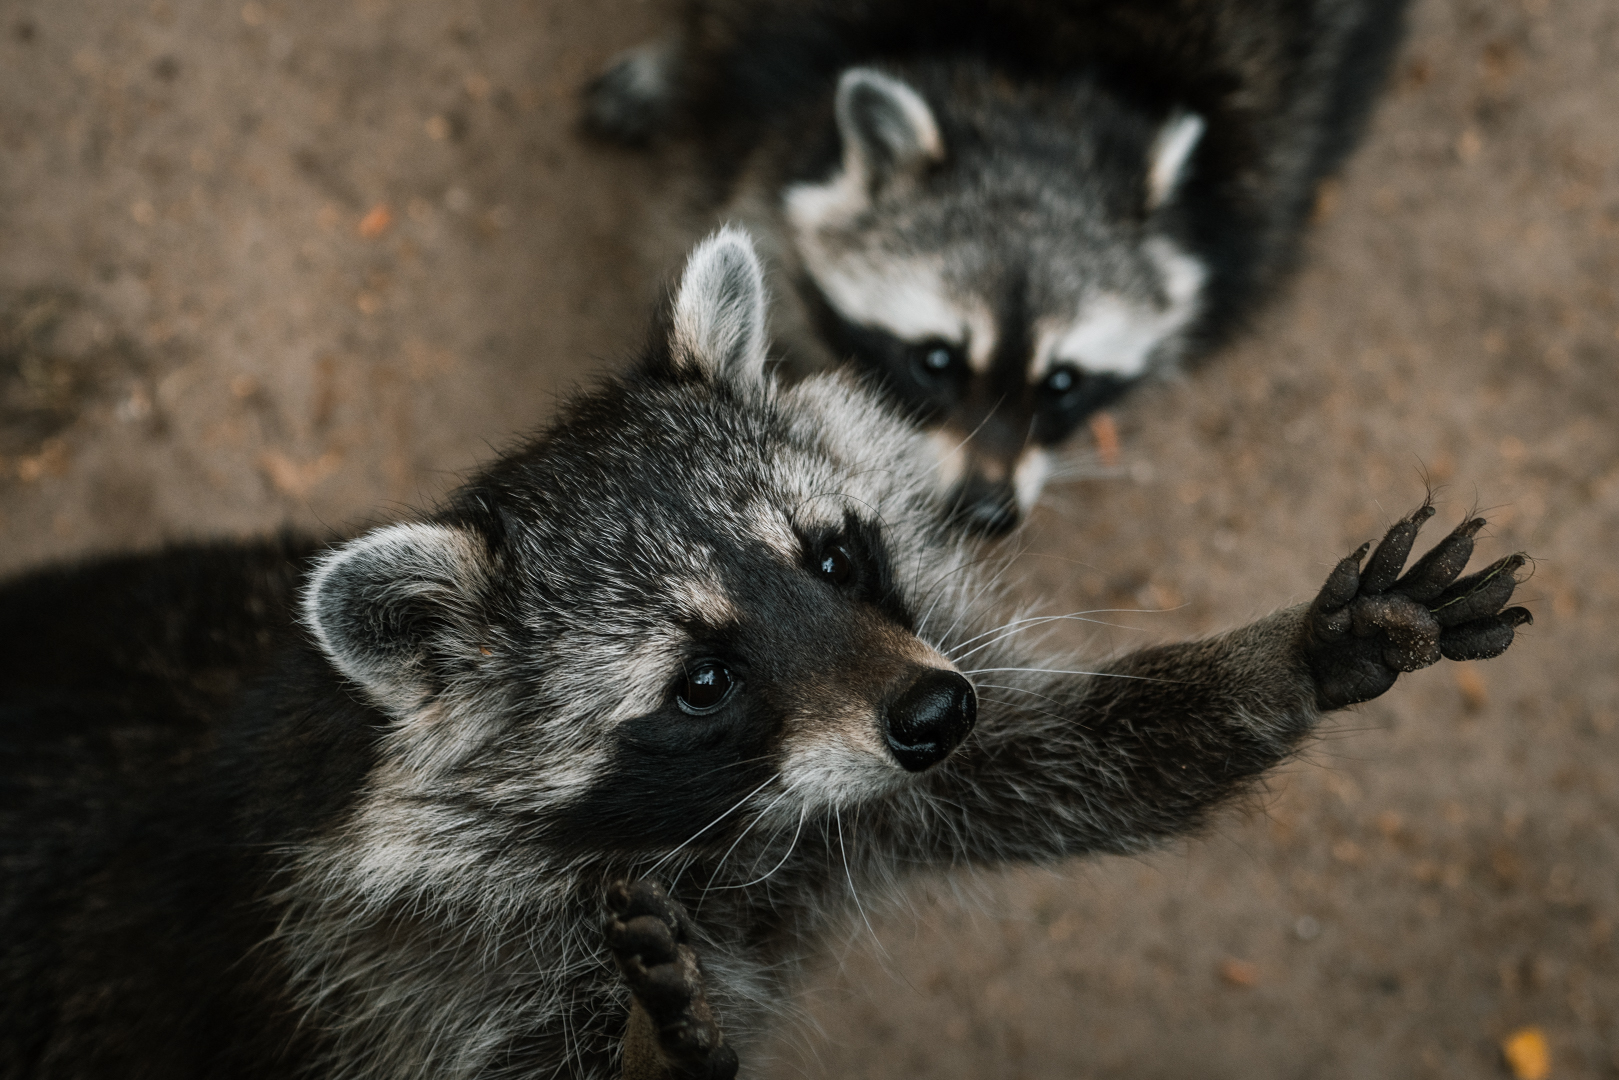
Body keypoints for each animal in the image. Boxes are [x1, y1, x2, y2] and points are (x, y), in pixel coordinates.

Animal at [0, 231, 1529, 1080]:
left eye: (834, 559)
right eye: (701, 683)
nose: (932, 715)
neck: (718, 834)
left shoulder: (868, 753)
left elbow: (1062, 765)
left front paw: (1290, 657)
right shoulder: (388, 981)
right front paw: (647, 1053)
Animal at [585, 0, 1410, 534]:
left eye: (1064, 383)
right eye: (935, 361)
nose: (984, 512)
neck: (1035, 78)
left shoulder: (1271, 147)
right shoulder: (767, 64)